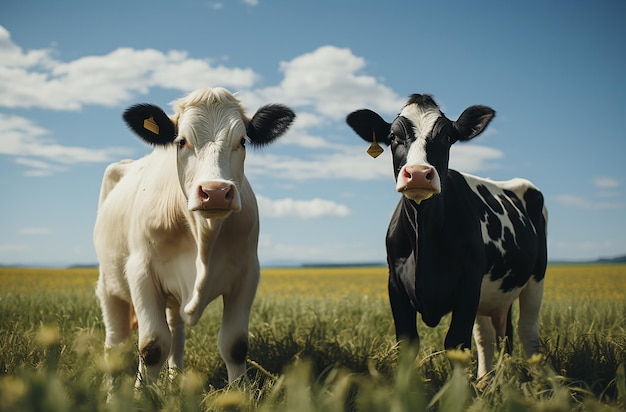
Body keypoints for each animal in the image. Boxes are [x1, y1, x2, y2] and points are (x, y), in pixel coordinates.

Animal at [92, 87, 294, 386]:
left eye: (242, 141)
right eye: (181, 141)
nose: (216, 191)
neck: (202, 237)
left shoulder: (247, 273)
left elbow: (235, 344)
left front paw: (240, 391)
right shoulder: (141, 272)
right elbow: (152, 346)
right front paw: (142, 393)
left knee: (176, 331)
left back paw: (175, 377)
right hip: (109, 283)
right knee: (115, 344)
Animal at [346, 94, 544, 376]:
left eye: (447, 137)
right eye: (393, 136)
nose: (418, 174)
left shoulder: (469, 280)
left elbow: (457, 343)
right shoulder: (395, 282)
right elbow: (407, 341)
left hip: (535, 279)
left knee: (528, 333)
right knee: (486, 337)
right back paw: (484, 380)